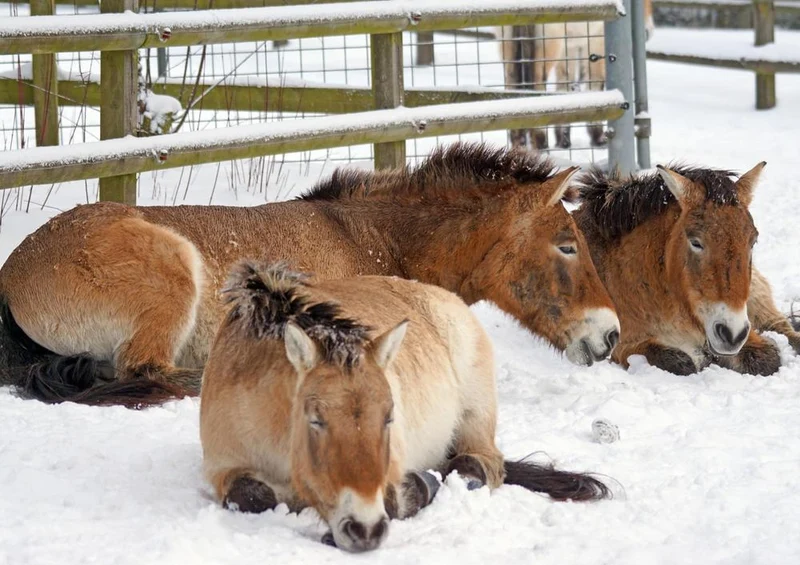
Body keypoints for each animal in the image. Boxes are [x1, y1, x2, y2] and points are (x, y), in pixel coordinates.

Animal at [0, 142, 620, 408]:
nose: (611, 334)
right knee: (151, 373)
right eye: (567, 246)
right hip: (173, 274)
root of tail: (12, 275)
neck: (371, 241)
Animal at [200, 261, 611, 552]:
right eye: (315, 420)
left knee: (479, 464)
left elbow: (396, 498)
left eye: (389, 417)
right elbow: (251, 495)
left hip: (475, 415)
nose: (363, 529)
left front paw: (418, 487)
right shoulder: (224, 469)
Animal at [498, 0, 655, 150]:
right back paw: (541, 143)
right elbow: (594, 87)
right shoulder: (595, 43)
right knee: (535, 86)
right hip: (547, 48)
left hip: (509, 46)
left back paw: (520, 146)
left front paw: (563, 140)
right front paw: (598, 138)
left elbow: (565, 88)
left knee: (512, 84)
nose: (647, 31)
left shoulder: (570, 49)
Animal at [572, 163, 800, 376]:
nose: (731, 334)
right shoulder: (622, 345)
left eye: (753, 241)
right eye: (696, 242)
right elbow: (680, 362)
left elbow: (767, 358)